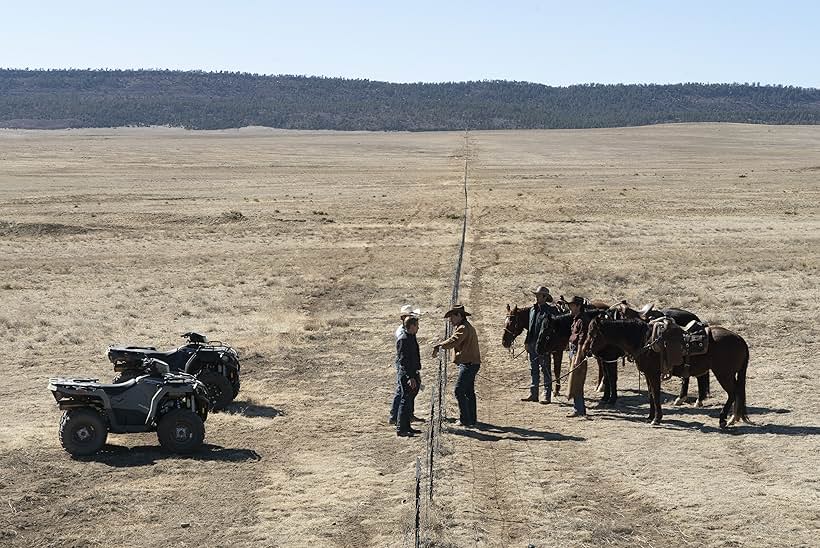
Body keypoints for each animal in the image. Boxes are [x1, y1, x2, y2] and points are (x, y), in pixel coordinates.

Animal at [584, 316, 748, 428]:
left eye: (592, 333)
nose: (586, 350)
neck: (645, 341)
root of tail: (741, 340)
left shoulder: (653, 373)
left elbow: (656, 394)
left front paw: (657, 419)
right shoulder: (648, 374)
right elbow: (651, 394)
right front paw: (650, 417)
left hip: (724, 374)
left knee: (732, 393)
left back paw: (723, 419)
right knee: (737, 393)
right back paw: (732, 418)